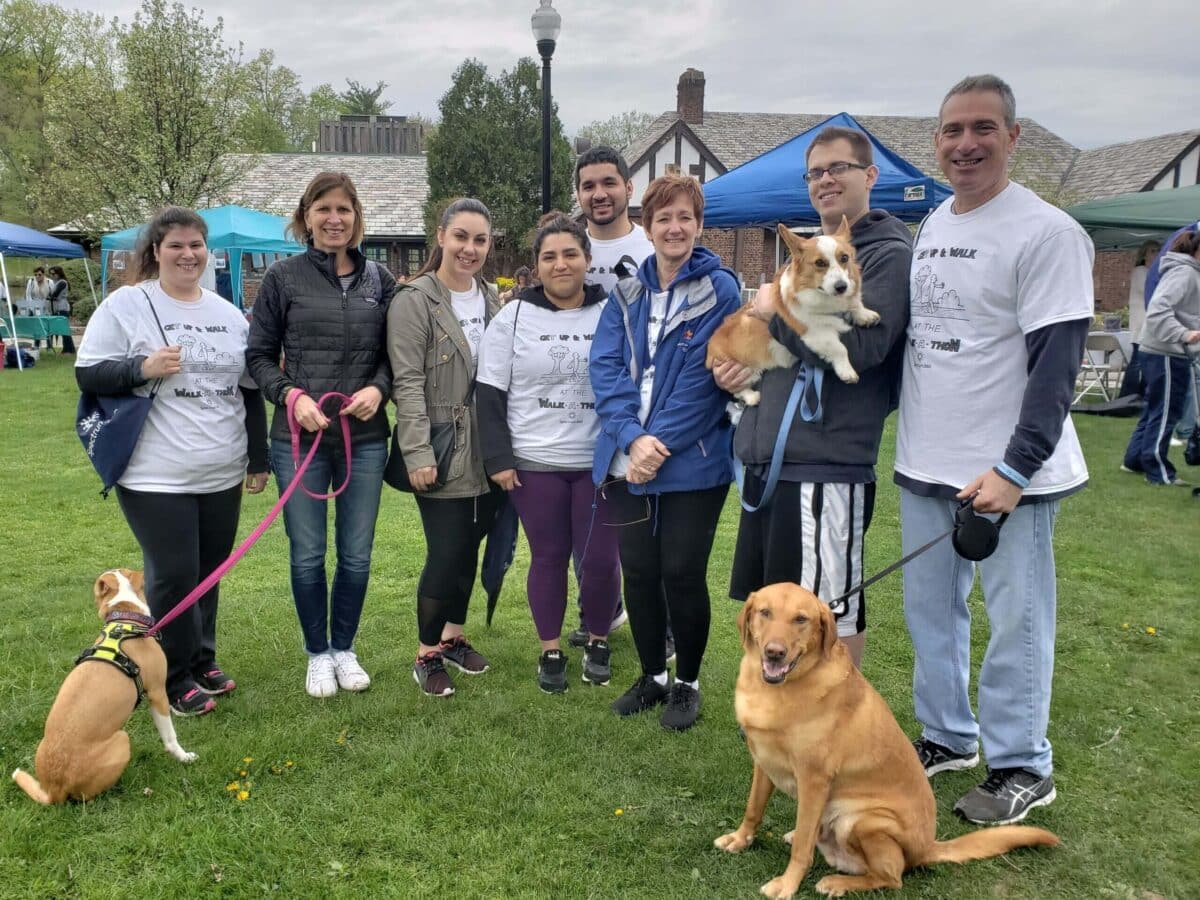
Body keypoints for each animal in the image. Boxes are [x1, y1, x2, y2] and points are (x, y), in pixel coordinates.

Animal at [12, 571, 196, 801]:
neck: (125, 620)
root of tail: (54, 790)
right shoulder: (158, 694)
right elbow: (170, 736)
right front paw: (183, 756)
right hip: (122, 739)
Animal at [700, 218, 883, 405]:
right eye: (819, 263)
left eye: (844, 258)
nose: (841, 287)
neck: (824, 298)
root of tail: (710, 349)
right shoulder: (816, 333)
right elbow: (839, 348)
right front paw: (847, 372)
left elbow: (855, 305)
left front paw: (865, 315)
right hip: (742, 369)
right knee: (737, 390)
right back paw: (752, 397)